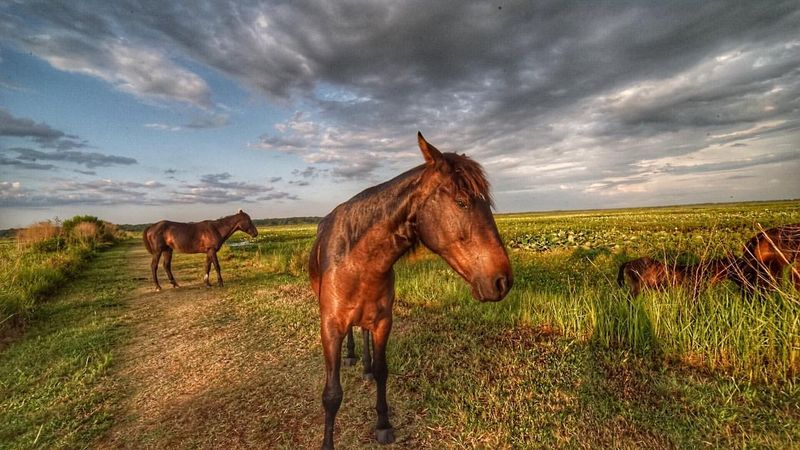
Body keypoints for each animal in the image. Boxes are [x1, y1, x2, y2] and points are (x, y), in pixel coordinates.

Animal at [310, 132, 516, 448]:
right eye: (462, 202)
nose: (502, 281)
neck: (358, 260)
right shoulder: (330, 326)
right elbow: (332, 394)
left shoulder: (383, 320)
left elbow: (382, 371)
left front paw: (383, 423)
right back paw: (352, 355)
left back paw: (364, 366)